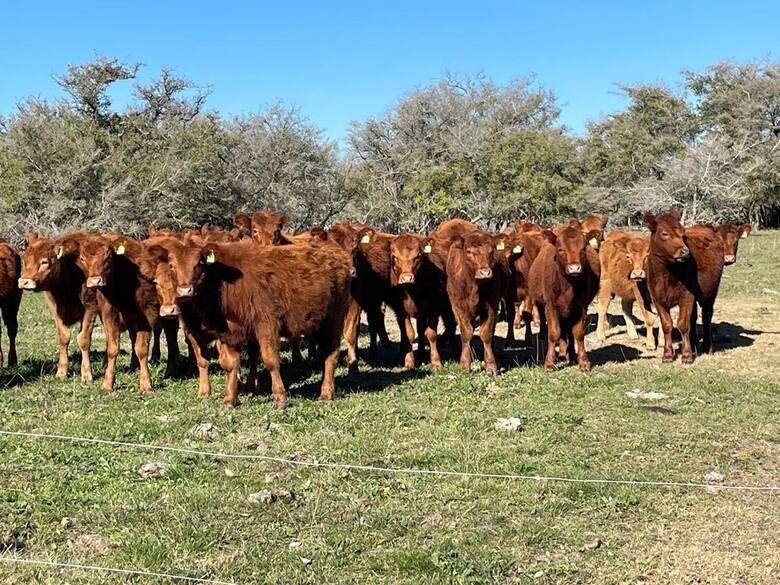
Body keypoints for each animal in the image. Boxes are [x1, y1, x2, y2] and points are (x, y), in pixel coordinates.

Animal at [18, 233, 98, 382]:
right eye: (24, 260)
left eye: (44, 262)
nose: (23, 282)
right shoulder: (54, 308)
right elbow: (64, 336)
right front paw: (61, 371)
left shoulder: (91, 307)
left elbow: (83, 339)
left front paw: (86, 374)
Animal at [166, 238, 352, 409]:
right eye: (171, 265)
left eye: (199, 263)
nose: (185, 290)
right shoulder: (229, 332)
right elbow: (230, 364)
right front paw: (229, 400)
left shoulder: (266, 324)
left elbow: (270, 360)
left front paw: (280, 399)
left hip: (334, 318)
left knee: (331, 354)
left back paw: (327, 393)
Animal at [528, 225, 602, 372]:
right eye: (561, 249)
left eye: (583, 249)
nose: (574, 268)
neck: (568, 286)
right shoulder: (551, 306)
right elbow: (554, 333)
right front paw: (549, 363)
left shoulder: (581, 307)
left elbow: (578, 334)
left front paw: (583, 362)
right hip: (541, 305)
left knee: (567, 330)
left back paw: (570, 355)